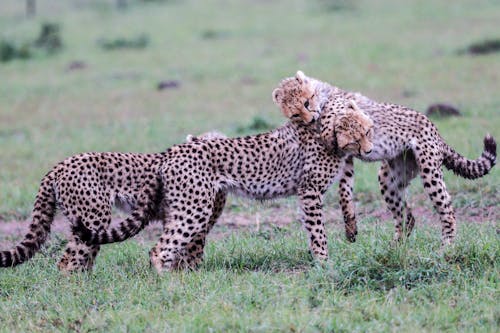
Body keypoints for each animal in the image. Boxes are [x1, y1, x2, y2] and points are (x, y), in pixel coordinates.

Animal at [72, 92, 374, 272]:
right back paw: (169, 285)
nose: (369, 150)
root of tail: (172, 150)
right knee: (159, 249)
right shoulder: (310, 191)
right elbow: (318, 231)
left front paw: (349, 233)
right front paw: (324, 263)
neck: (326, 134)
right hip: (194, 208)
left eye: (369, 131)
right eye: (355, 138)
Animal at [278, 70, 496, 246]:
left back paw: (447, 246)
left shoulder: (345, 106)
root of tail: (435, 129)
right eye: (295, 114)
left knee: (447, 211)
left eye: (307, 102)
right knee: (405, 216)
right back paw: (395, 245)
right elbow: (344, 192)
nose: (309, 119)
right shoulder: (346, 155)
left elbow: (334, 114)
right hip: (390, 178)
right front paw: (350, 228)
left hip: (429, 170)